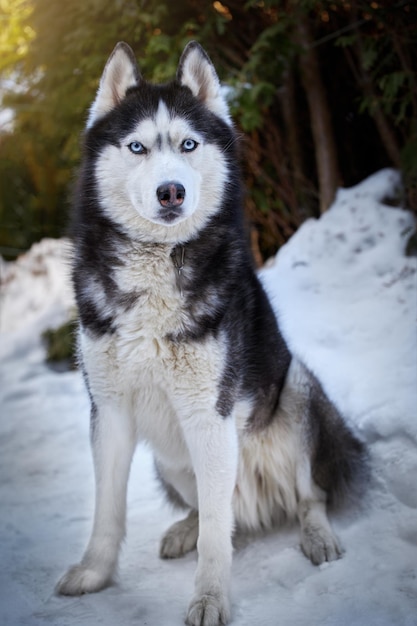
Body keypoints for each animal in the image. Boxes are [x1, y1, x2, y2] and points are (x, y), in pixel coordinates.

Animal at [57, 41, 366, 620]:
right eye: (137, 147)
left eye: (188, 144)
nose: (171, 191)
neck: (156, 271)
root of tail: (259, 505)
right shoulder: (108, 409)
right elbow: (107, 510)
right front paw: (94, 573)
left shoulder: (209, 411)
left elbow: (217, 541)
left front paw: (210, 598)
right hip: (169, 460)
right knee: (216, 513)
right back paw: (185, 528)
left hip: (296, 393)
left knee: (305, 497)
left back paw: (317, 536)